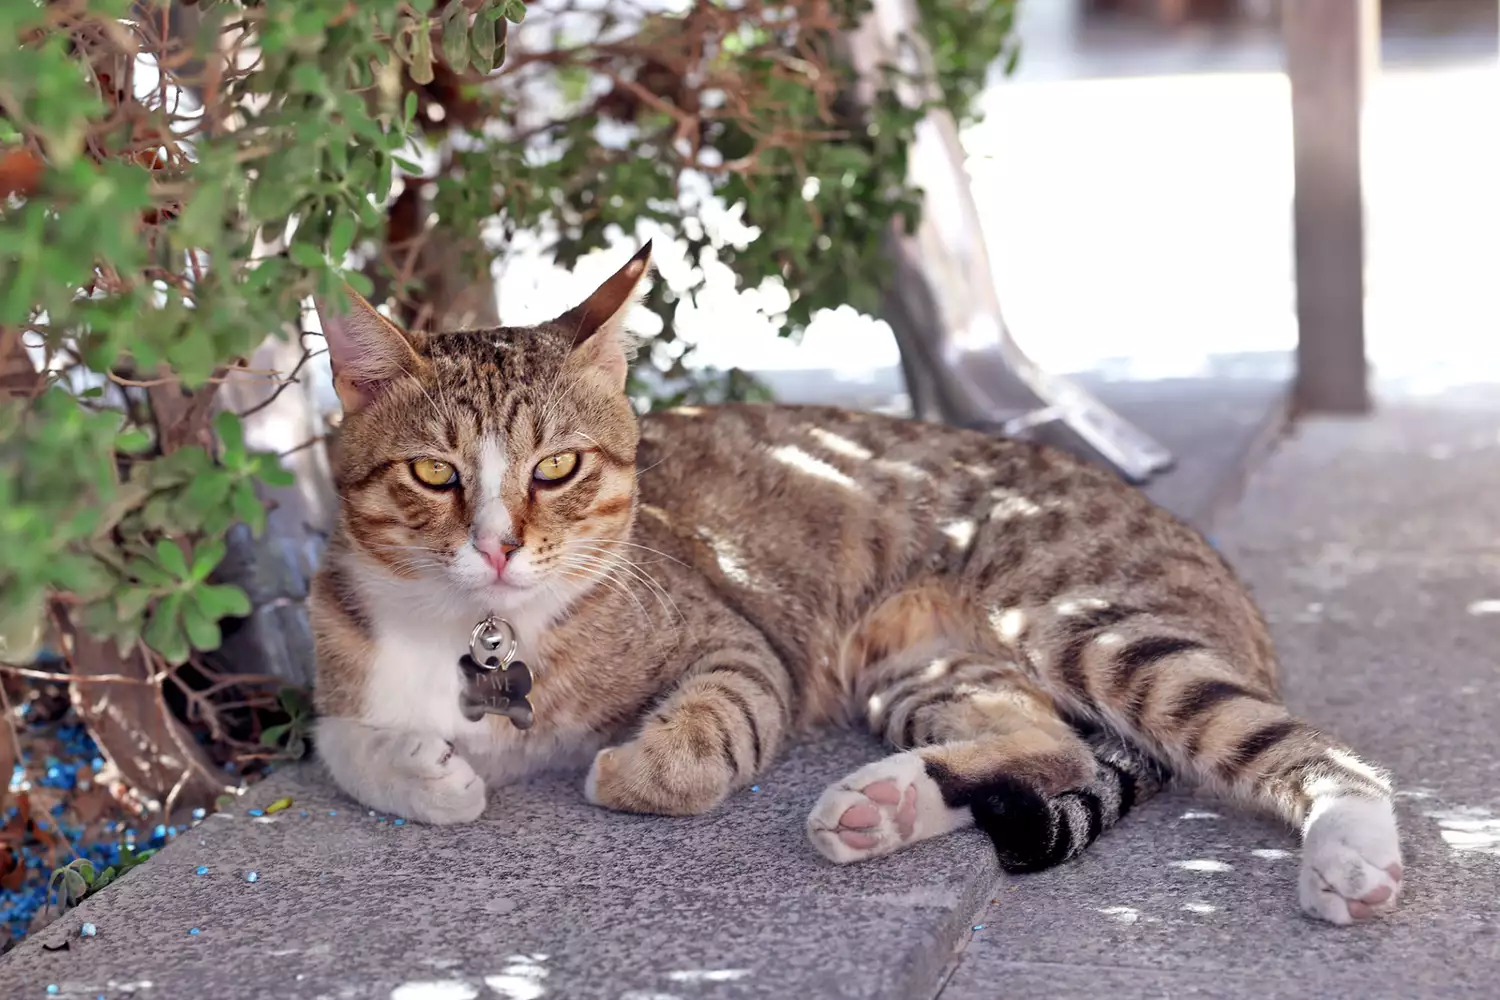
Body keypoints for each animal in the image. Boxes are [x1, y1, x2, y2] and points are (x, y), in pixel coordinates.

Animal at [310, 242, 1398, 923]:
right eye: (434, 474)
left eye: (558, 469)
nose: (497, 546)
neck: (483, 631)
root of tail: (1226, 580)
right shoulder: (334, 661)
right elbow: (337, 741)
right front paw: (422, 773)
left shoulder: (738, 642)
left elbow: (701, 742)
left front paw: (626, 767)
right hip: (919, 667)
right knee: (1046, 745)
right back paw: (886, 803)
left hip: (1084, 621)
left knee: (1319, 752)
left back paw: (1353, 853)